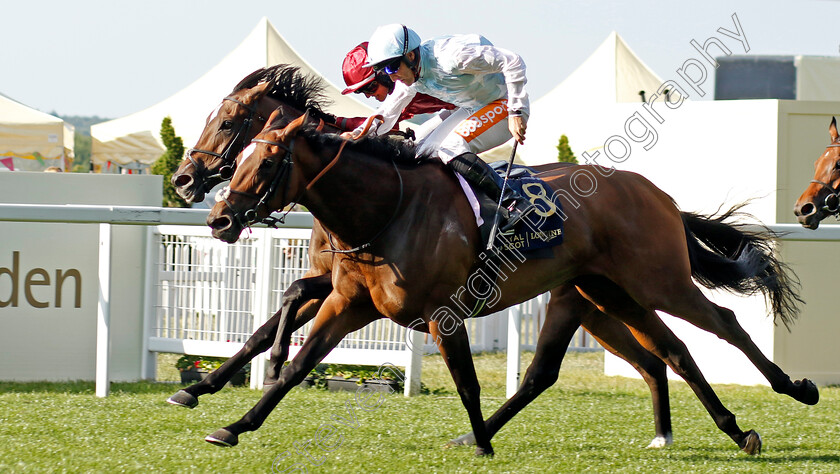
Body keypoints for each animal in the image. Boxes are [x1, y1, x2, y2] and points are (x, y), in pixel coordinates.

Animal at [202, 112, 812, 456]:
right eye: (240, 156)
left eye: (268, 161)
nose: (220, 218)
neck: (386, 211)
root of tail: (659, 194)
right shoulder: (349, 302)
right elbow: (298, 363)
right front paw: (233, 423)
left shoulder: (442, 314)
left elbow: (468, 383)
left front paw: (482, 445)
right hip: (608, 294)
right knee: (669, 352)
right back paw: (732, 430)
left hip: (658, 282)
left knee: (723, 324)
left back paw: (795, 389)